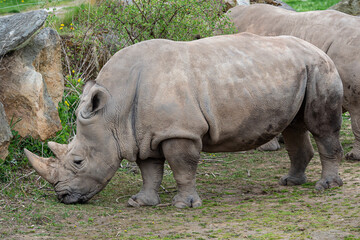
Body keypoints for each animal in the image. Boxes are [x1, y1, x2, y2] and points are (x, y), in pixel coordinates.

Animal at [25, 33, 344, 208]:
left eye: (78, 161)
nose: (62, 196)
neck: (112, 110)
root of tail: (320, 49)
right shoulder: (144, 134)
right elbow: (149, 170)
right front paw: (140, 203)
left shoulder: (179, 131)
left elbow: (182, 167)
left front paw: (184, 205)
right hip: (299, 71)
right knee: (294, 127)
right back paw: (291, 183)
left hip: (321, 69)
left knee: (321, 128)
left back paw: (325, 187)